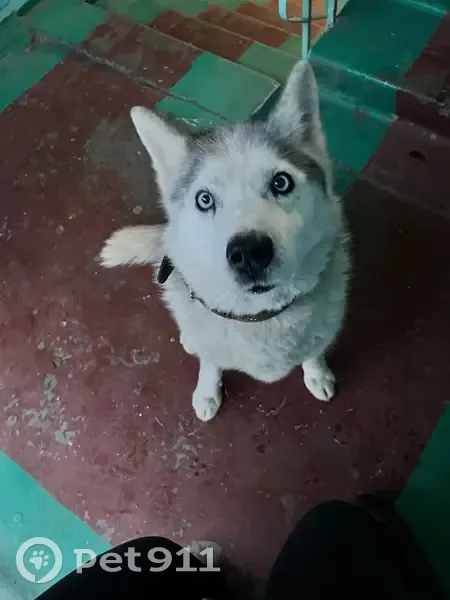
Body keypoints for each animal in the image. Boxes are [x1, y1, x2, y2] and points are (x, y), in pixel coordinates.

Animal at [100, 61, 349, 422]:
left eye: (281, 182)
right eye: (204, 199)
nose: (249, 253)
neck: (261, 316)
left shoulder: (322, 329)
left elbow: (314, 351)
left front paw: (318, 374)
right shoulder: (212, 346)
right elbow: (210, 364)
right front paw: (207, 392)